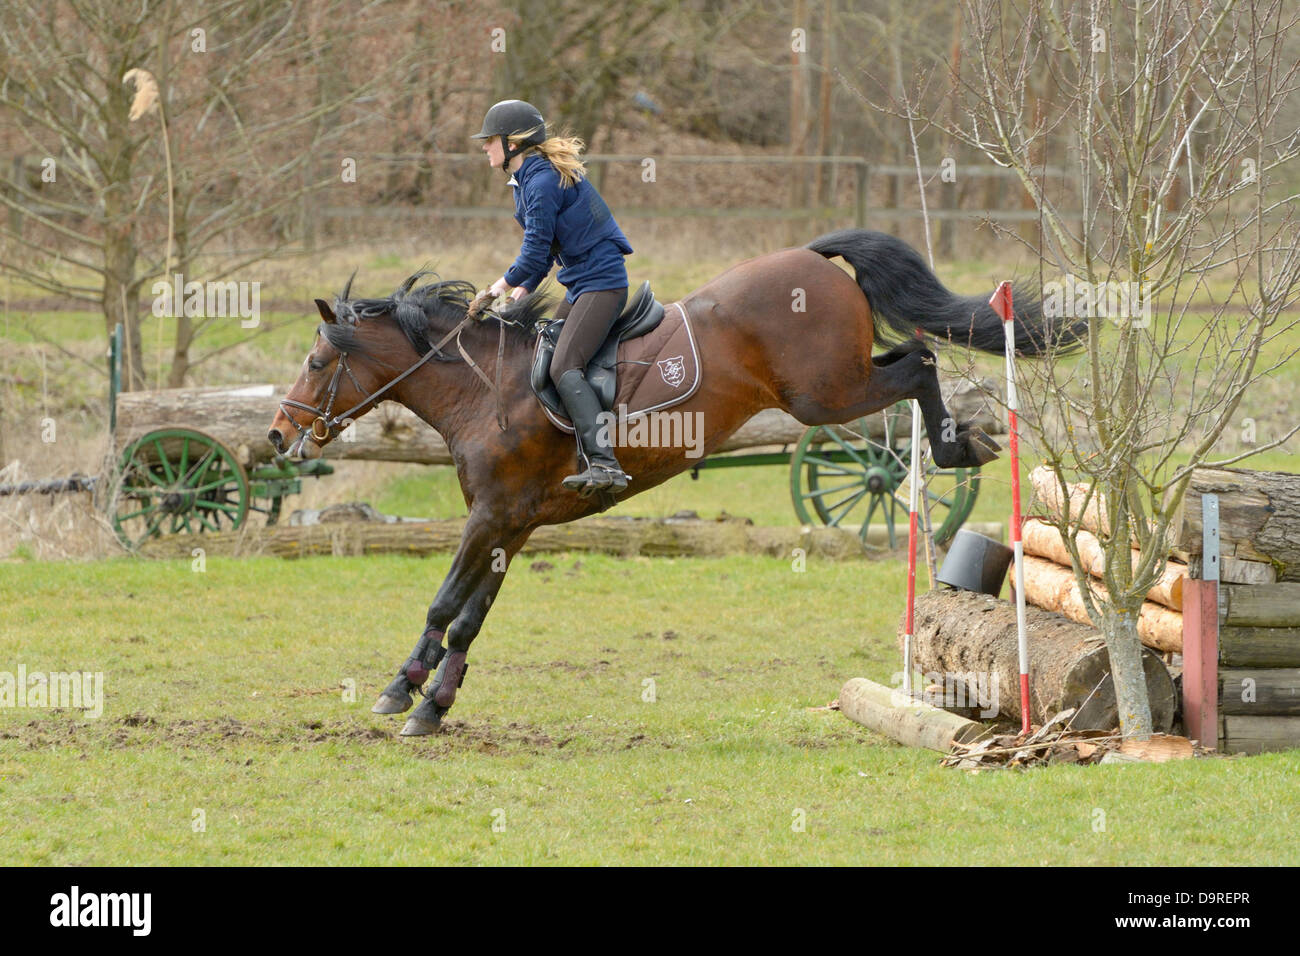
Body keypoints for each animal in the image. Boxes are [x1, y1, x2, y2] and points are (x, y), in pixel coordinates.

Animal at [267, 229, 1083, 736]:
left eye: (315, 363)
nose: (277, 435)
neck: (484, 388)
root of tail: (811, 255)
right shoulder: (512, 523)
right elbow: (469, 617)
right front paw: (430, 701)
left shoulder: (492, 516)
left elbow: (444, 605)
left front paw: (402, 691)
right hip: (838, 382)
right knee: (916, 356)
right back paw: (961, 442)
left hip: (825, 395)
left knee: (919, 364)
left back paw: (956, 445)